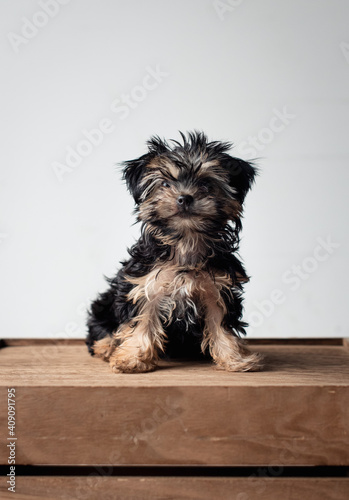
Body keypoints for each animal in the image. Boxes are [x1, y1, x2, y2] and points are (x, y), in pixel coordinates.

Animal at [86, 131, 260, 374]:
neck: (185, 242)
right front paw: (132, 358)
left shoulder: (218, 289)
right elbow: (142, 321)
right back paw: (107, 346)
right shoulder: (145, 285)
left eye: (206, 184)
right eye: (165, 183)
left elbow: (221, 323)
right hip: (104, 304)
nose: (184, 198)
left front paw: (234, 358)